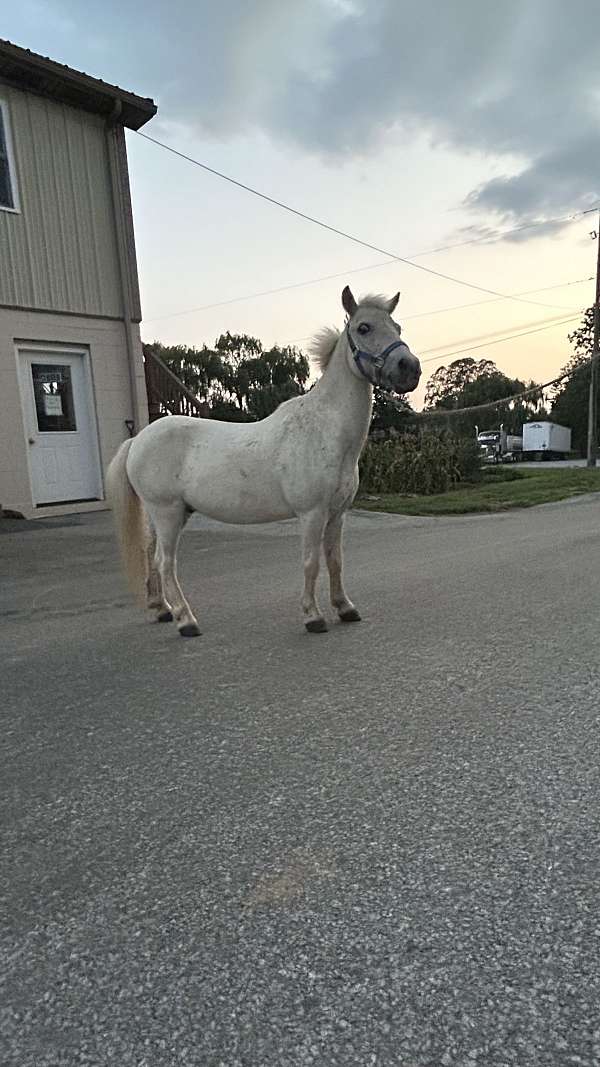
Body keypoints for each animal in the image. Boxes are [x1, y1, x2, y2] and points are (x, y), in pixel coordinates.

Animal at [105, 285, 418, 631]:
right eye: (364, 327)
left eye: (397, 327)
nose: (409, 368)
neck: (325, 430)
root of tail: (137, 440)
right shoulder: (312, 513)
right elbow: (311, 563)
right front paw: (313, 615)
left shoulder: (337, 514)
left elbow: (335, 560)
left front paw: (345, 607)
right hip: (167, 513)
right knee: (165, 563)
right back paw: (186, 621)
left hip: (161, 514)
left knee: (149, 554)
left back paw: (162, 609)